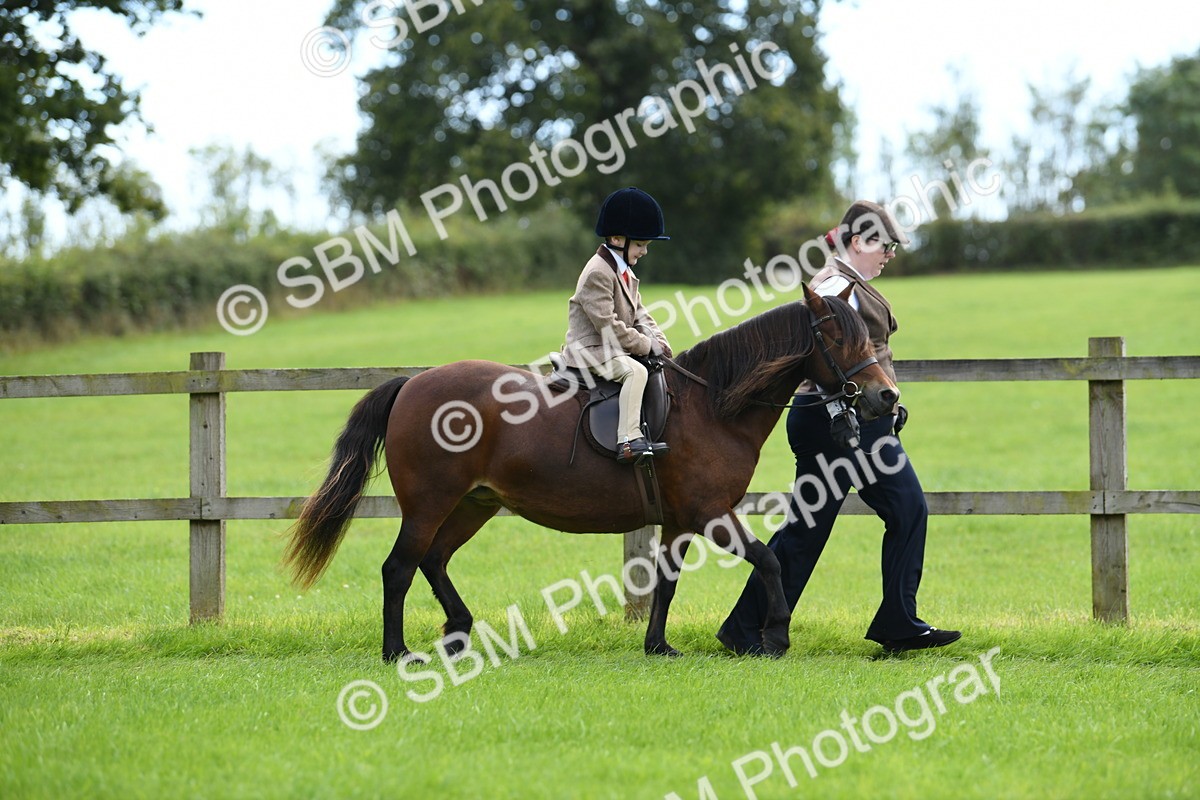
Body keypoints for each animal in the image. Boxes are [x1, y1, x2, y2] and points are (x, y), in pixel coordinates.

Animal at [284, 284, 899, 660]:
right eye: (838, 337)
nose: (885, 399)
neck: (712, 406)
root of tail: (413, 383)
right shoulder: (710, 513)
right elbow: (768, 560)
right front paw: (775, 637)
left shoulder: (681, 521)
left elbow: (667, 583)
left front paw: (659, 646)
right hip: (431, 503)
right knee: (400, 568)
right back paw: (397, 652)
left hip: (473, 503)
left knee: (433, 561)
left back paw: (458, 631)